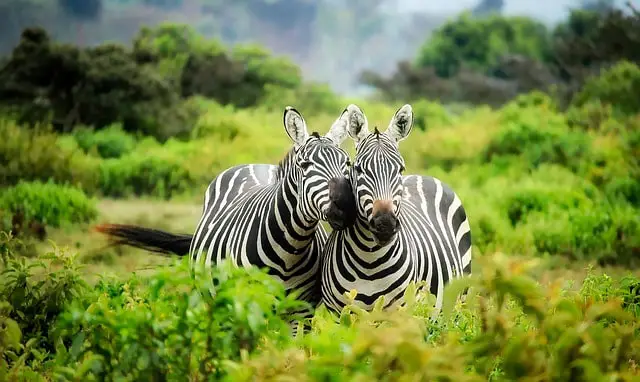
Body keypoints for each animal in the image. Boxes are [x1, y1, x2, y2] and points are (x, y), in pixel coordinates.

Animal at [95, 106, 358, 330]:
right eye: (305, 165)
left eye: (347, 162)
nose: (346, 205)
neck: (290, 250)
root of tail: (254, 164)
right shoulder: (248, 305)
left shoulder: (301, 312)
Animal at [318, 103, 472, 314]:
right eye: (358, 169)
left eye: (400, 169)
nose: (385, 225)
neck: (369, 261)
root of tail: (424, 176)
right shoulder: (338, 313)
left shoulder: (399, 312)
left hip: (458, 300)